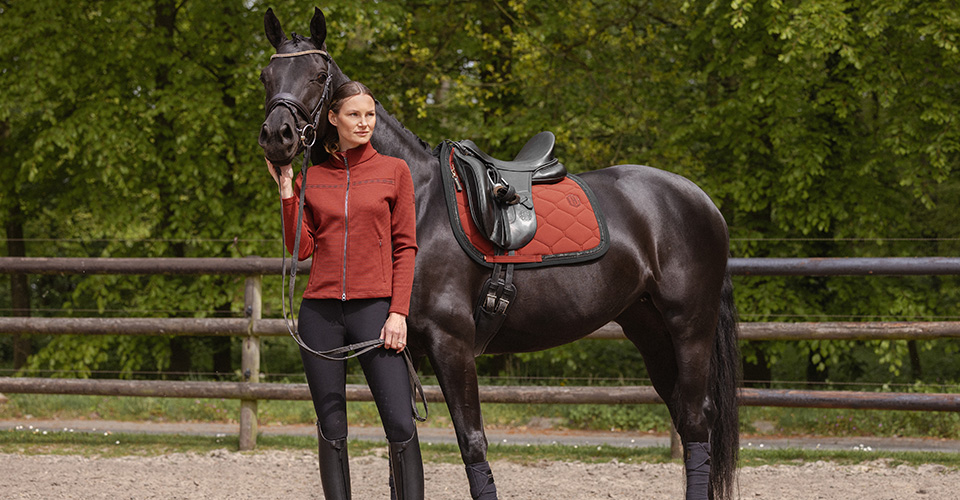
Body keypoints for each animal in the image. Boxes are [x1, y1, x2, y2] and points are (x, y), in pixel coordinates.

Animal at [258, 8, 740, 500]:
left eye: (319, 76)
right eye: (266, 76)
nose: (277, 137)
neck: (421, 201)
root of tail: (701, 200)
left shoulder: (452, 343)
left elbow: (472, 443)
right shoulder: (404, 349)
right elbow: (401, 451)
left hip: (688, 326)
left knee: (696, 419)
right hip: (648, 327)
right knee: (685, 414)